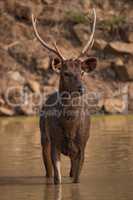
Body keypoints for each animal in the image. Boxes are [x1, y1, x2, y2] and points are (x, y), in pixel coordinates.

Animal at [31, 9, 97, 184]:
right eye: (66, 73)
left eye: (82, 72)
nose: (81, 88)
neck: (70, 127)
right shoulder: (54, 142)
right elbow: (57, 179)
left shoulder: (82, 145)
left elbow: (76, 178)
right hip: (43, 136)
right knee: (48, 172)